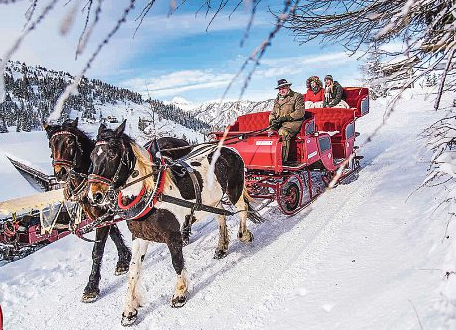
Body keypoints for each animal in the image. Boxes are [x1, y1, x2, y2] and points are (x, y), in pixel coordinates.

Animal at [88, 120, 260, 326]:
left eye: (112, 153)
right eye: (91, 155)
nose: (94, 196)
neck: (152, 194)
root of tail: (229, 149)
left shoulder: (173, 237)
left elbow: (177, 263)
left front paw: (179, 294)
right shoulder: (139, 237)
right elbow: (133, 271)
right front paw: (129, 310)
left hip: (235, 190)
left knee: (242, 209)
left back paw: (244, 235)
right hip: (213, 201)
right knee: (221, 218)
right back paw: (221, 247)